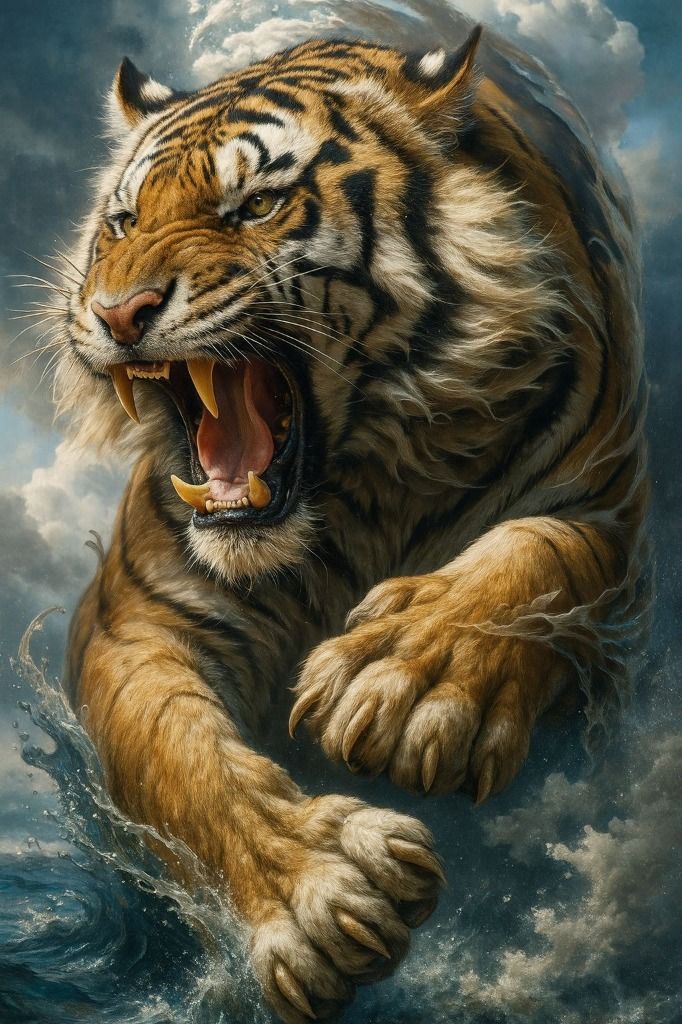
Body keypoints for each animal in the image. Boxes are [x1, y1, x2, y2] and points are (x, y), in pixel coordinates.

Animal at [53, 20, 648, 1024]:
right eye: (124, 222)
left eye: (255, 205)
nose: (117, 312)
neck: (364, 490)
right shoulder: (131, 622)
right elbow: (180, 755)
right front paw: (317, 891)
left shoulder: (606, 508)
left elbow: (536, 554)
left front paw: (407, 681)